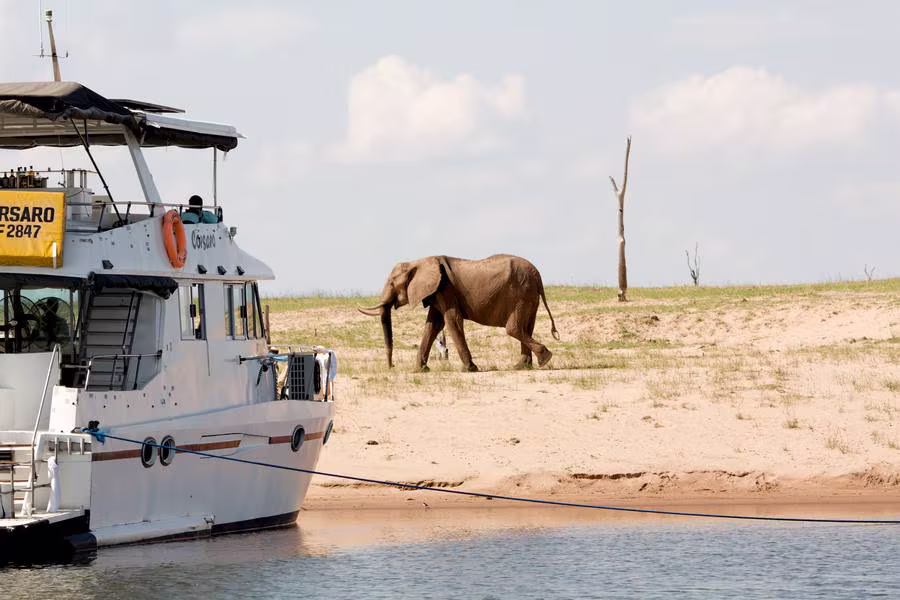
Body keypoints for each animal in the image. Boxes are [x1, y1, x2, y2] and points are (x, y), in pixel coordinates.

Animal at [359, 254, 559, 372]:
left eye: (392, 283)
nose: (391, 367)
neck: (419, 261)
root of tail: (538, 276)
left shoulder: (445, 289)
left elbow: (451, 320)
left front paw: (470, 369)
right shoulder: (437, 291)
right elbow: (433, 325)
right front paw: (420, 371)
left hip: (520, 294)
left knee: (514, 329)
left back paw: (544, 359)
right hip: (528, 295)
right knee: (527, 327)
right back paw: (522, 366)